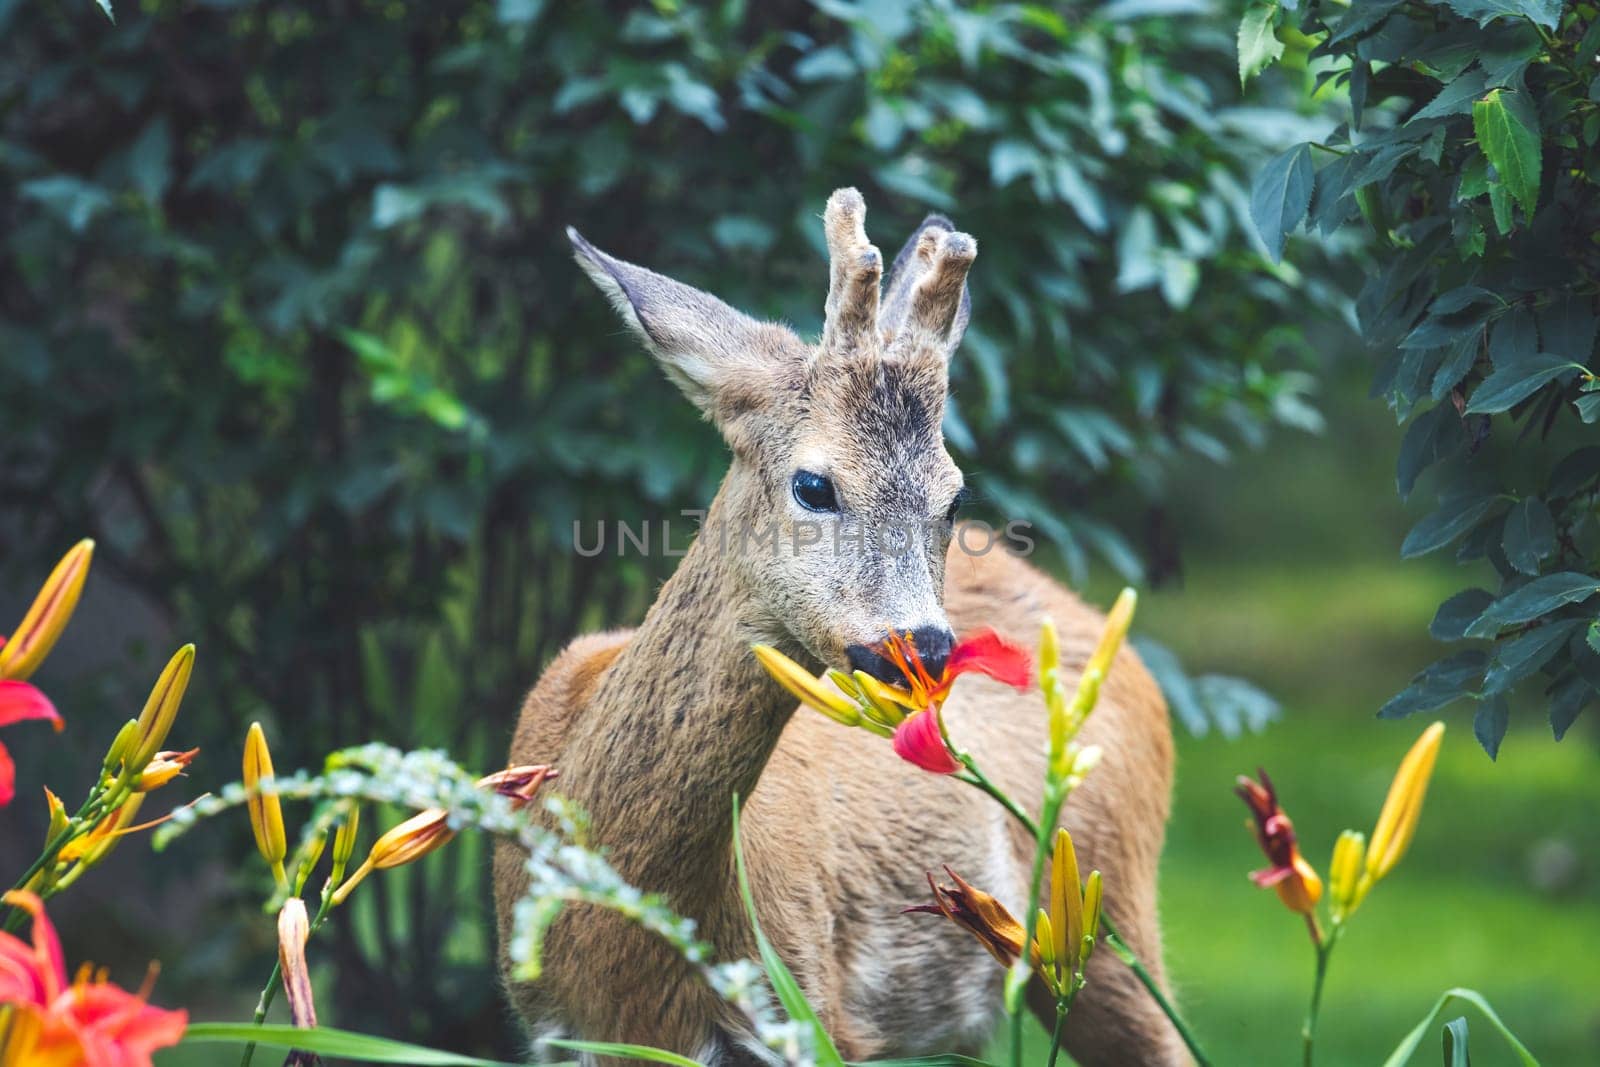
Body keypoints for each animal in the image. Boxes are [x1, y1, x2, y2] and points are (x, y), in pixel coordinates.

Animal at [492, 189, 1184, 1067]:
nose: (926, 647)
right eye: (814, 485)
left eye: (953, 497)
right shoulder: (555, 1028)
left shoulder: (816, 1008)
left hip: (1111, 902)